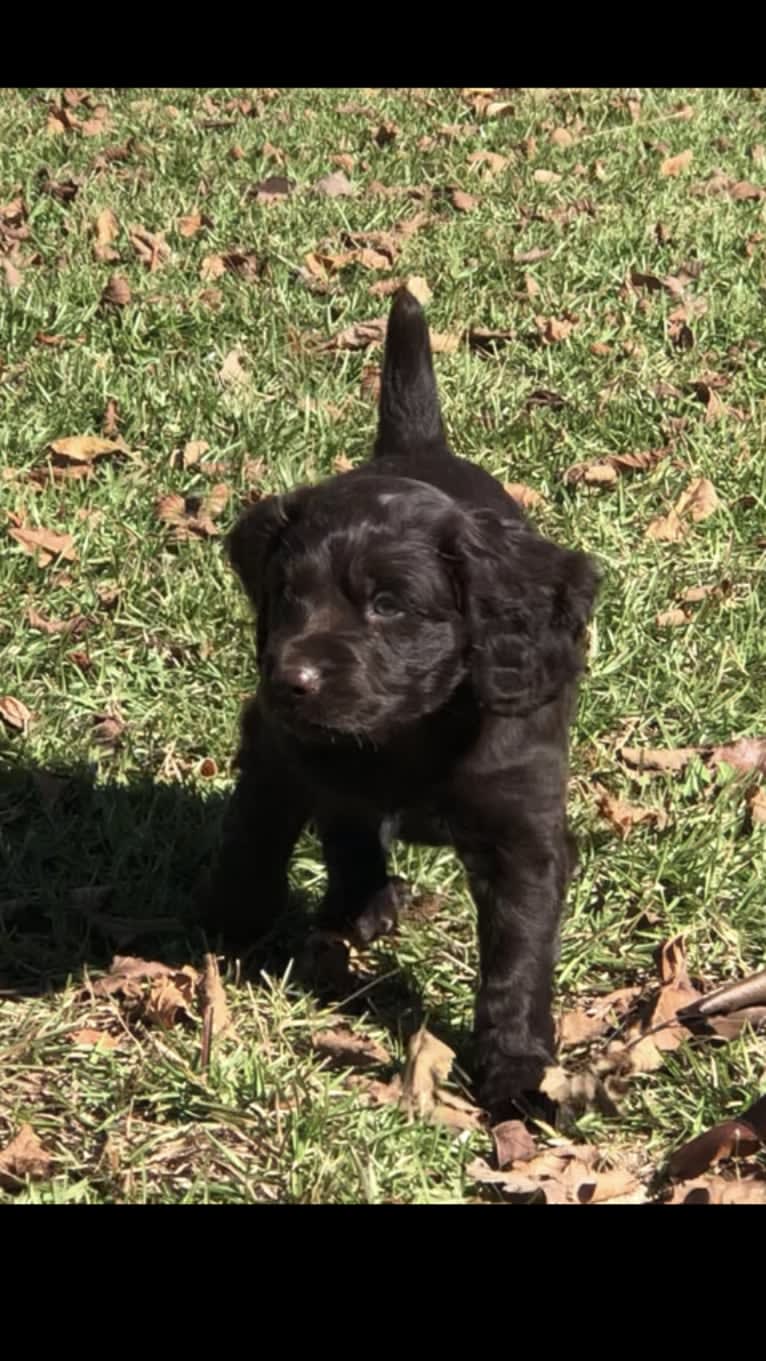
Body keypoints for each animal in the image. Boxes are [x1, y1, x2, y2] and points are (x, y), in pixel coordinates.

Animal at [208, 287, 598, 1116]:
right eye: (287, 596)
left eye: (389, 605)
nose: (290, 680)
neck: (407, 737)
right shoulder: (276, 747)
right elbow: (255, 837)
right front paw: (229, 925)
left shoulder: (522, 827)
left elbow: (517, 957)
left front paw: (516, 1069)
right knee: (346, 820)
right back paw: (360, 900)